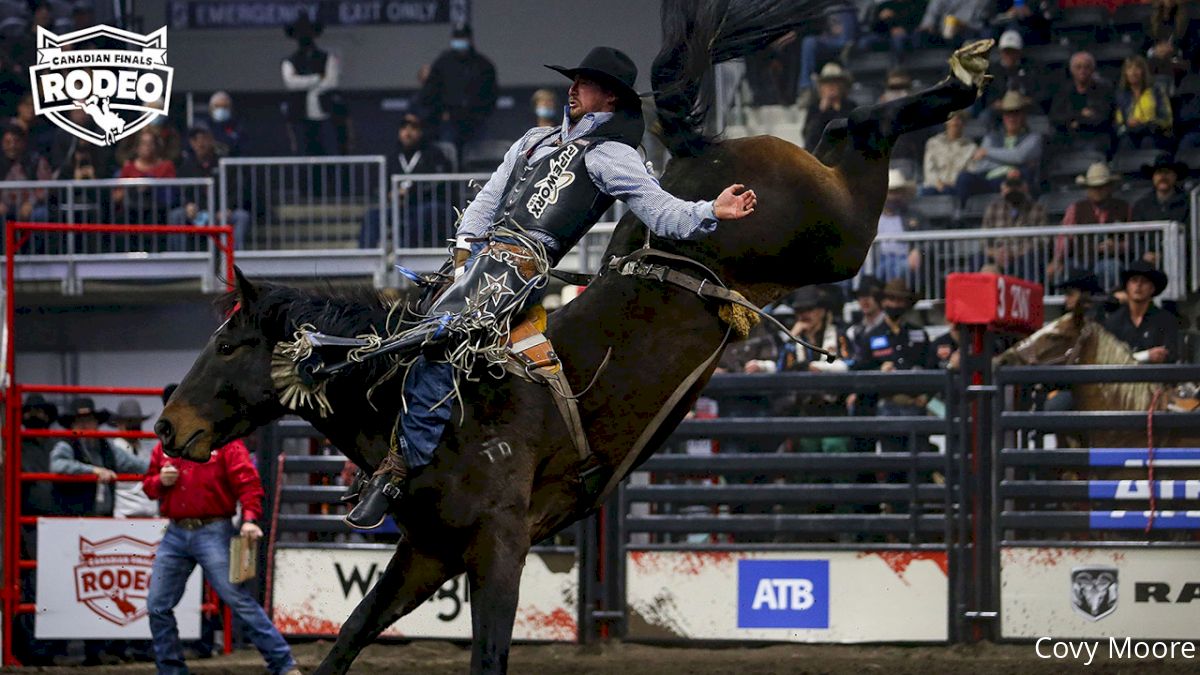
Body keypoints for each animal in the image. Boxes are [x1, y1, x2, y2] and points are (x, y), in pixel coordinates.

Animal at [154, 2, 988, 667]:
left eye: (228, 346)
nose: (165, 425)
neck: (433, 410)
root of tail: (700, 150)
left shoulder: (500, 543)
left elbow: (488, 652)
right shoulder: (427, 550)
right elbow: (353, 632)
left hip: (831, 234)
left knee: (861, 127)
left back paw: (963, 80)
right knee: (848, 126)